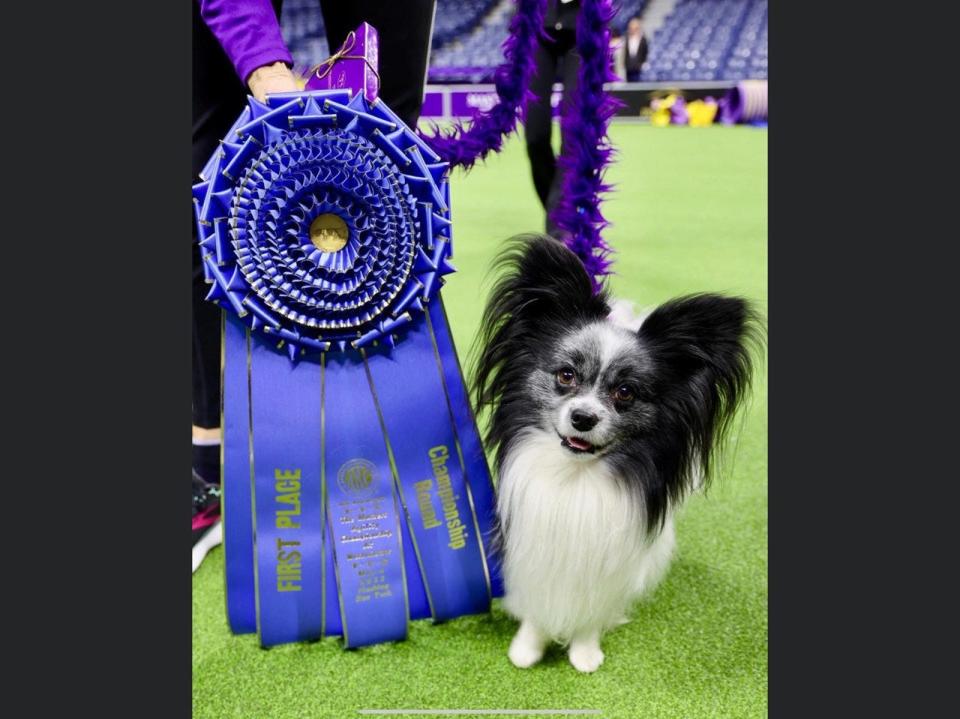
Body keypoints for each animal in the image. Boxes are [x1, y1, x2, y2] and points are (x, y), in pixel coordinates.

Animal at [474, 236, 764, 676]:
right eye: (566, 375)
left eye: (625, 392)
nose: (583, 417)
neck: (574, 479)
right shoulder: (530, 548)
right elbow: (536, 605)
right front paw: (526, 648)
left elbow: (591, 613)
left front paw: (584, 653)